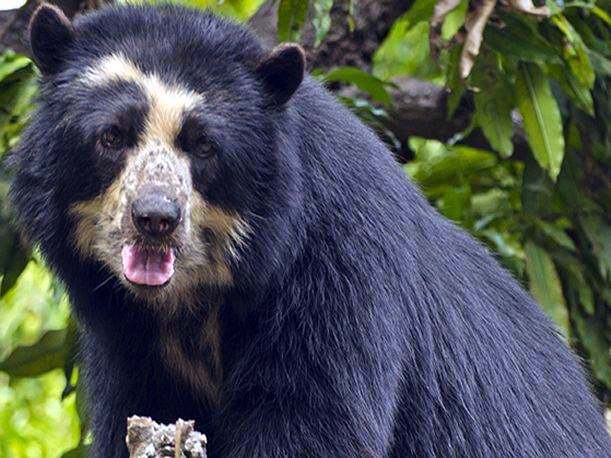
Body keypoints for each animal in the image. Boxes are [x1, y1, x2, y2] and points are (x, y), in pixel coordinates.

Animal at [7, 1, 608, 456]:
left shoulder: (336, 272)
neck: (193, 302)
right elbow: (135, 413)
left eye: (203, 146)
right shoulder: (124, 343)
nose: (155, 219)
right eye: (112, 136)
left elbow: (310, 419)